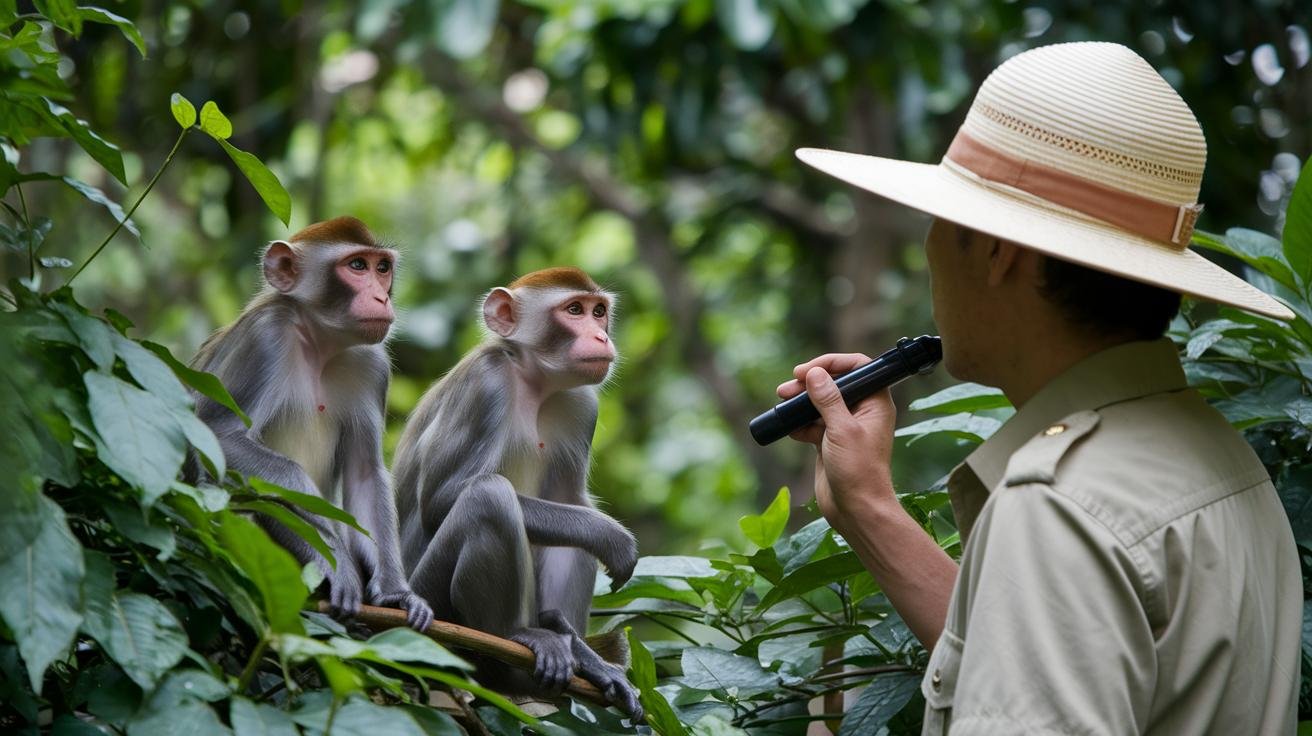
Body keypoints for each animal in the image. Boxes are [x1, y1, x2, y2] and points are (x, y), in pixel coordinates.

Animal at [191, 216, 433, 632]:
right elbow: (219, 435)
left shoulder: (372, 365)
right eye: (357, 266)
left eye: (382, 268)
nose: (382, 299)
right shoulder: (267, 336)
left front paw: (395, 593)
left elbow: (364, 473)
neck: (320, 342)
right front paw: (337, 563)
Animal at [393, 267, 643, 719]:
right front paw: (612, 538)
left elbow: (571, 502)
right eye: (574, 310)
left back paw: (569, 644)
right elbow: (441, 500)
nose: (601, 336)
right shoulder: (485, 384)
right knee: (488, 498)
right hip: (428, 602)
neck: (533, 382)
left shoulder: (583, 404)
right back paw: (516, 636)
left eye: (599, 312)